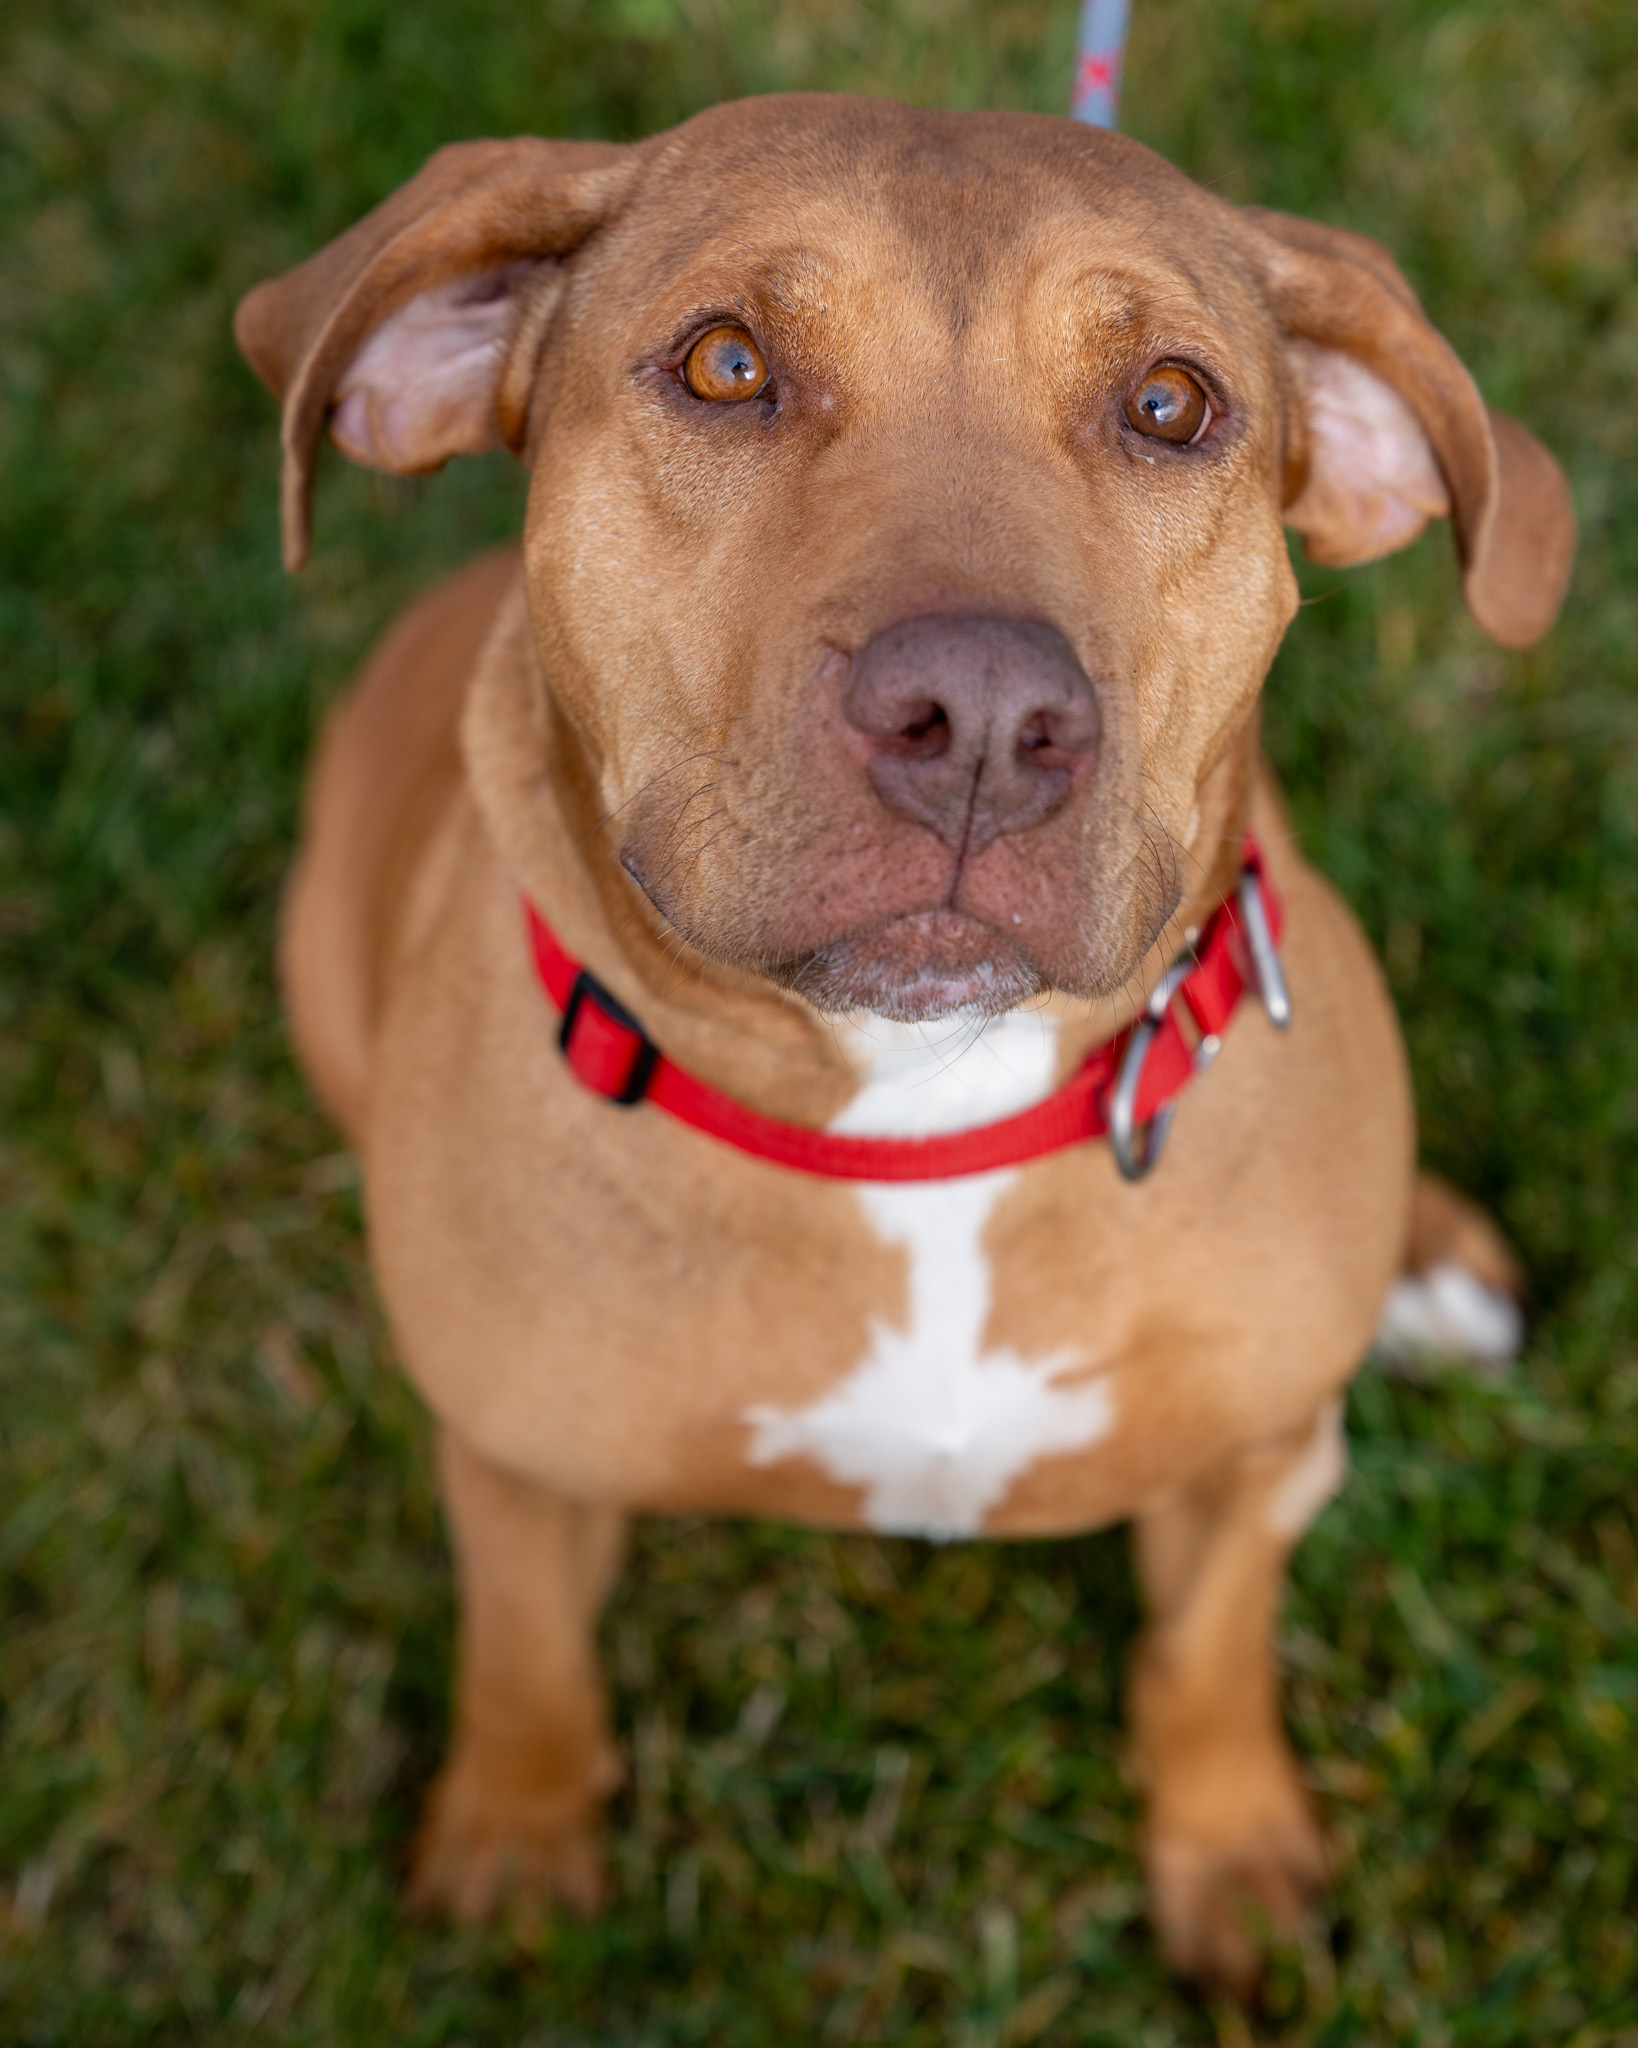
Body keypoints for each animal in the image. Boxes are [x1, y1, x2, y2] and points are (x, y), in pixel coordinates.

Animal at [233, 92, 1572, 1982]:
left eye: (1170, 403)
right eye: (725, 363)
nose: (985, 722)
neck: (919, 1122)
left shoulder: (1253, 1465)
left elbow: (1204, 1657)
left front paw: (1231, 1855)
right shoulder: (512, 1462)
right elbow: (526, 1663)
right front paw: (512, 1846)